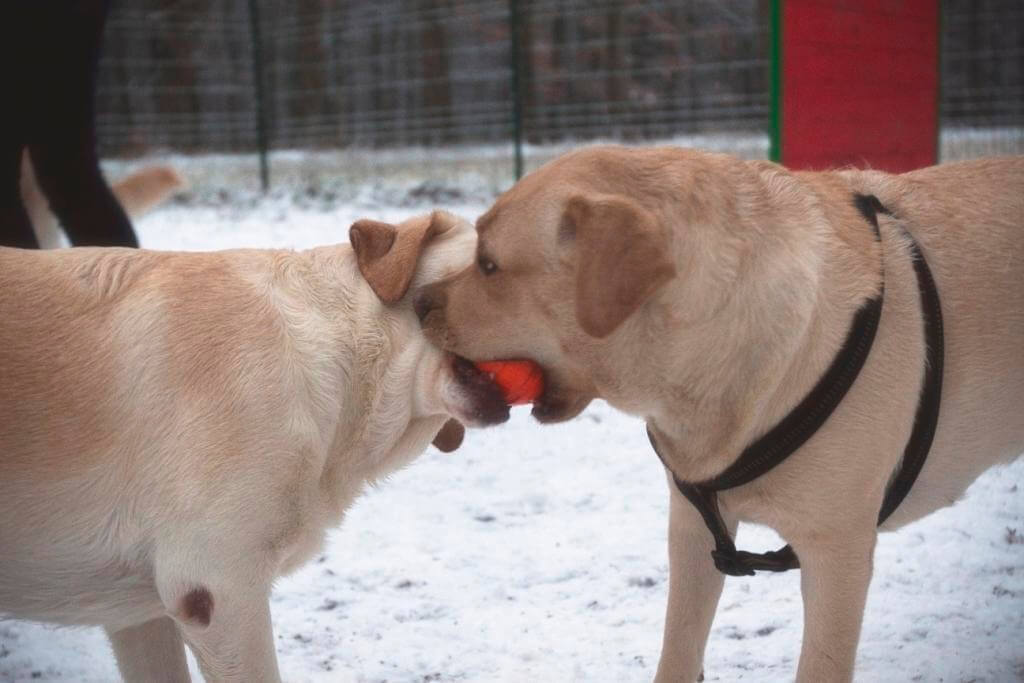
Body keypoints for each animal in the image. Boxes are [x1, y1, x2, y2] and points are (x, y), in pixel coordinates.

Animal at [415, 148, 1024, 683]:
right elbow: (677, 655)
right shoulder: (691, 529)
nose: (418, 302)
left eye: (489, 264)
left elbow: (819, 667)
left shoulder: (838, 551)